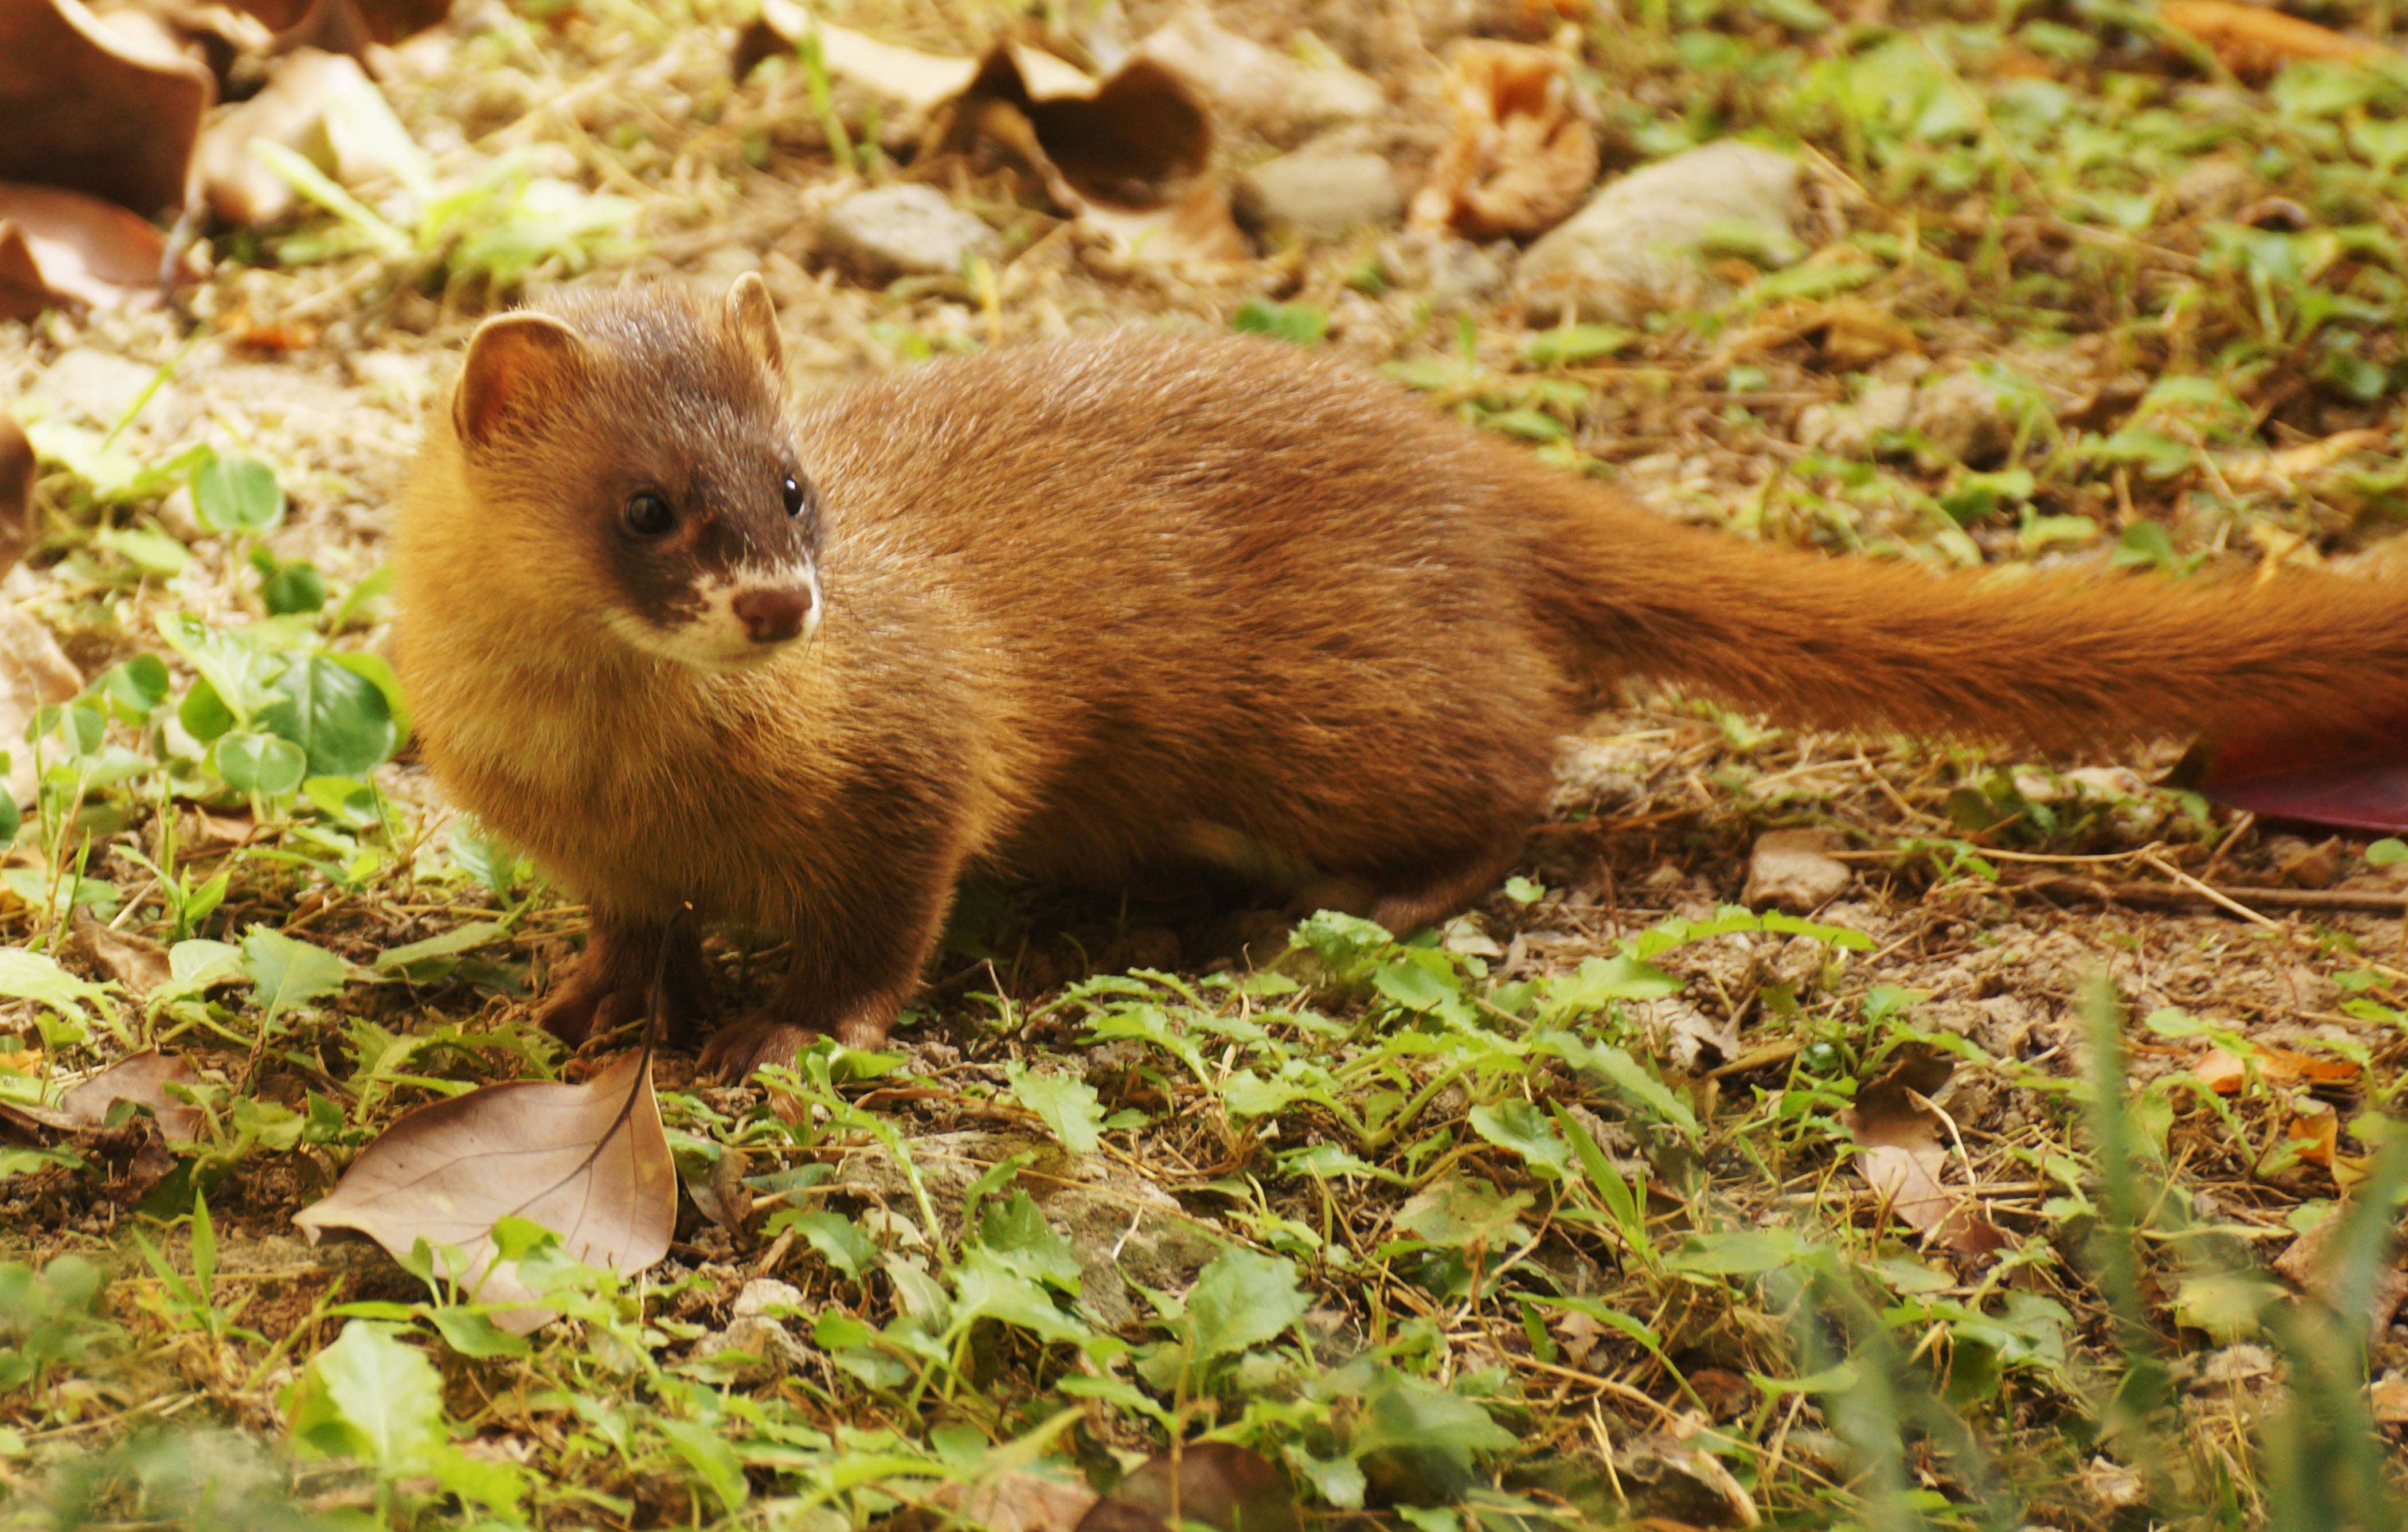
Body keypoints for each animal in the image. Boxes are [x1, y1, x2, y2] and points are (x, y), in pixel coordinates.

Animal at [390, 282, 2408, 1084]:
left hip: (1326, 721)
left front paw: (791, 1030)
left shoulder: (917, 762)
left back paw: (1333, 912)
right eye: (648, 505)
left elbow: (888, 920)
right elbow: (626, 928)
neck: (619, 770)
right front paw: (583, 999)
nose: (785, 604)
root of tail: (1464, 460)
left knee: (1516, 771)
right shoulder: (587, 840)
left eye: (799, 482)